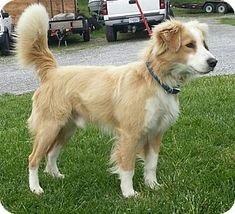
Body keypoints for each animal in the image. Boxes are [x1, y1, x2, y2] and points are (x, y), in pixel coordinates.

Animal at [16, 4, 218, 197]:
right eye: (189, 45)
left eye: (204, 44)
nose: (213, 62)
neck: (155, 80)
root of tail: (52, 72)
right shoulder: (130, 134)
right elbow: (128, 167)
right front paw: (129, 193)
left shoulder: (156, 132)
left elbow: (151, 164)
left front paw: (153, 186)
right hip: (49, 127)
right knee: (32, 158)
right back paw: (35, 189)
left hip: (66, 129)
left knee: (50, 153)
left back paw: (56, 176)